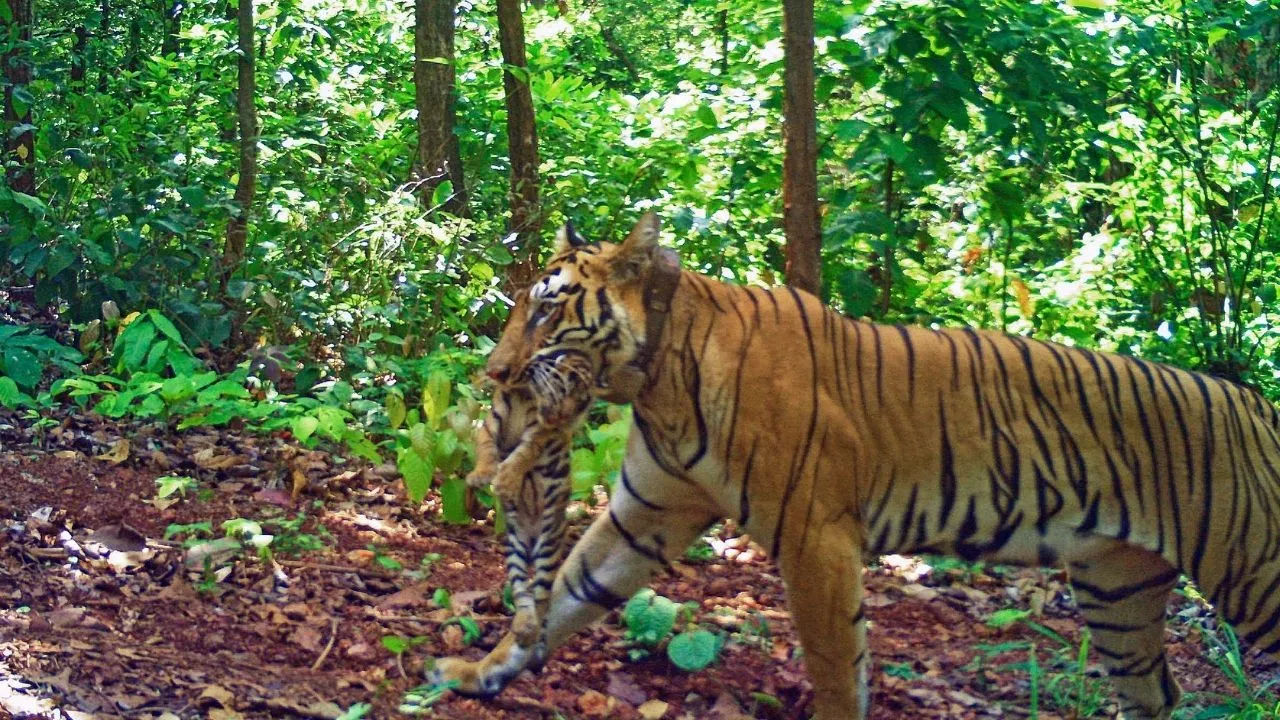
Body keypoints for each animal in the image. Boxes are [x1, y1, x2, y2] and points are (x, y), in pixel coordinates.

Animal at [467, 343, 596, 648]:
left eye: (579, 397)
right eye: (566, 385)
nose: (561, 416)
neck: (521, 393)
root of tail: (533, 537)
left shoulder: (536, 432)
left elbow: (520, 456)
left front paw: (505, 481)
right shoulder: (490, 425)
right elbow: (487, 450)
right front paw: (481, 474)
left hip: (549, 541)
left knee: (541, 593)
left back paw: (533, 629)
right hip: (514, 546)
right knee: (521, 590)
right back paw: (523, 625)